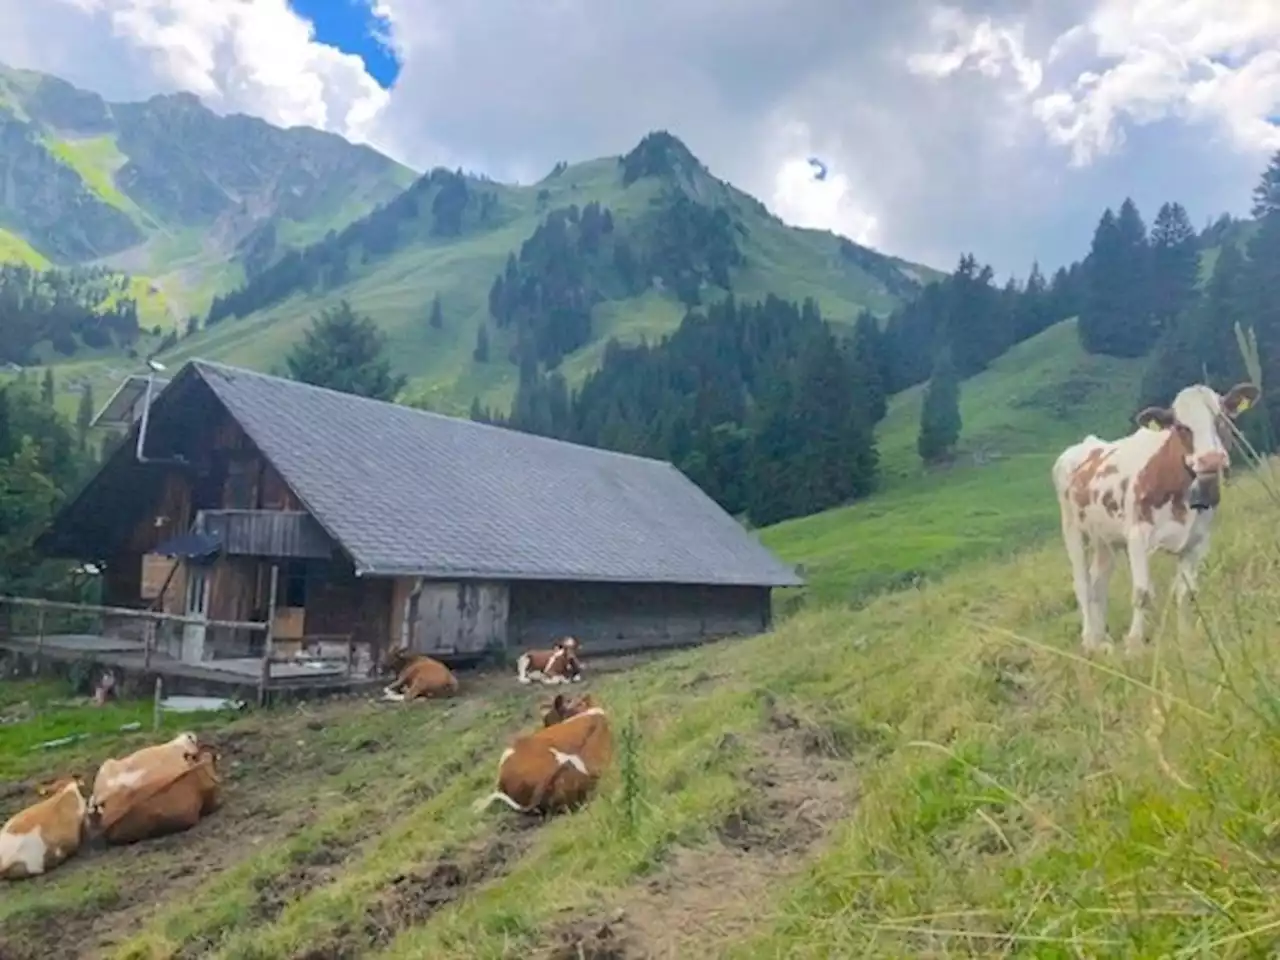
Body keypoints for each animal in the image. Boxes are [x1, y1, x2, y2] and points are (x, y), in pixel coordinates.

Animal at [1049, 378, 1259, 660]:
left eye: (1222, 417)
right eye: (1181, 426)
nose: (1210, 460)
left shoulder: (1197, 542)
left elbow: (1186, 592)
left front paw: (1186, 638)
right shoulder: (1137, 537)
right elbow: (1142, 593)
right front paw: (1134, 645)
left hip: (1105, 538)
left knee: (1099, 581)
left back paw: (1102, 639)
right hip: (1072, 528)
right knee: (1082, 583)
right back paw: (1089, 641)